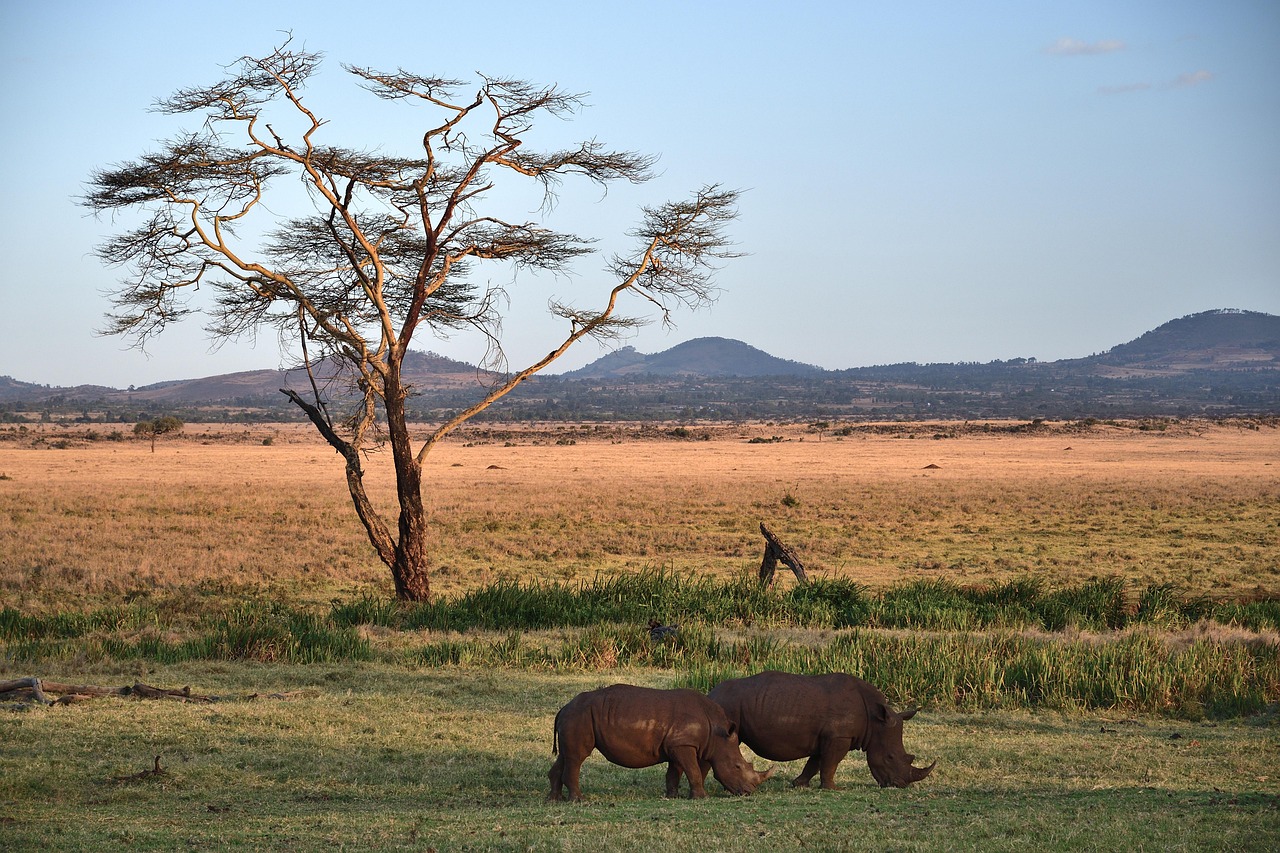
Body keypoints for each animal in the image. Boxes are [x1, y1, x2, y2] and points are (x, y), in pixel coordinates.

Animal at [548, 684, 775, 801]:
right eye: (737, 767)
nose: (749, 792)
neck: (716, 734)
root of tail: (563, 708)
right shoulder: (683, 745)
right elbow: (692, 770)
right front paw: (701, 798)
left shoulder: (677, 745)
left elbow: (674, 772)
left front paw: (672, 796)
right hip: (580, 716)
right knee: (577, 757)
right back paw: (579, 800)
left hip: (576, 716)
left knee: (566, 756)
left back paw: (554, 799)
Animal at [708, 671, 935, 789]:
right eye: (889, 757)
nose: (900, 785)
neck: (875, 721)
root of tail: (712, 694)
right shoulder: (840, 737)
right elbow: (830, 763)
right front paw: (833, 788)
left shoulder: (826, 737)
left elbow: (816, 762)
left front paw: (799, 784)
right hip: (728, 704)